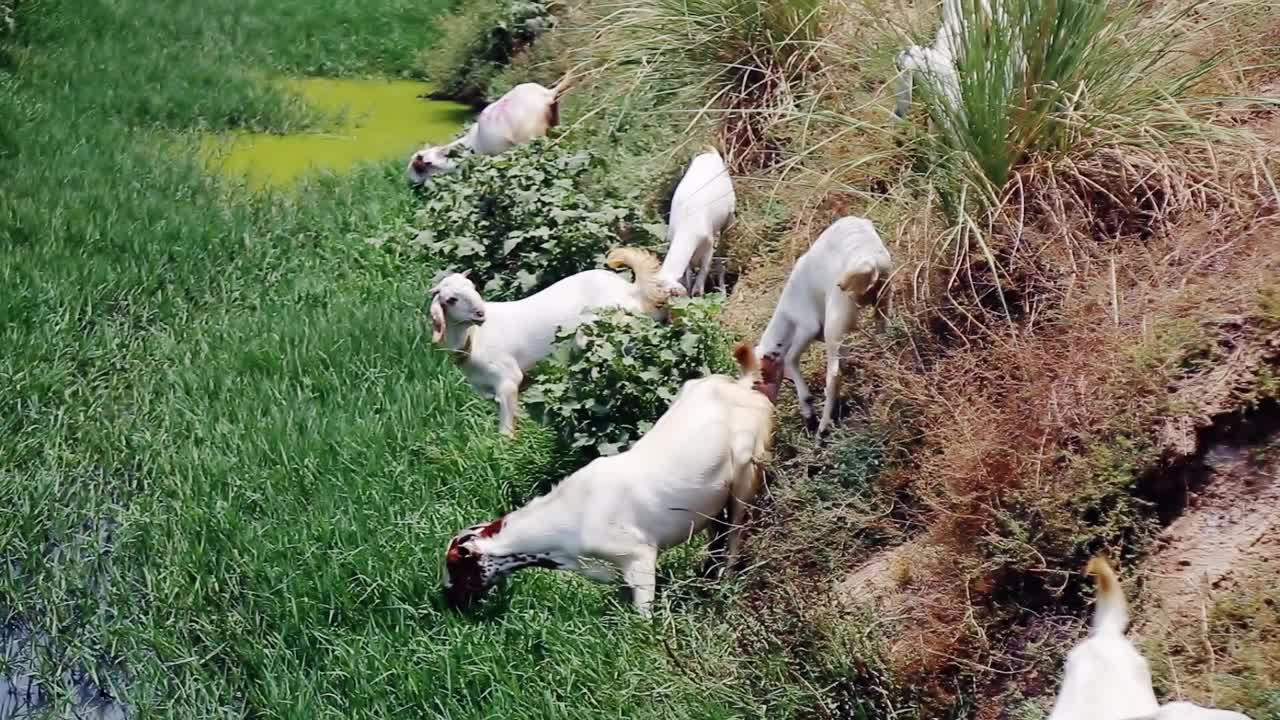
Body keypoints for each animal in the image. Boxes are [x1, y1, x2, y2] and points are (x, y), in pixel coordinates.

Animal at [432, 245, 670, 435]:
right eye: (451, 300)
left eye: (473, 288)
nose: (480, 313)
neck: (474, 339)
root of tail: (631, 290)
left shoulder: (508, 380)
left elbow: (506, 431)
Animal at [440, 338, 778, 614]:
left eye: (455, 566)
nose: (447, 601)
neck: (568, 519)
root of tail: (742, 386)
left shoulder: (640, 558)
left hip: (746, 476)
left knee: (734, 534)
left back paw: (723, 583)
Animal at [747, 213, 890, 430]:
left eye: (760, 376)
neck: (786, 317)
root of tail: (867, 262)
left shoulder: (808, 325)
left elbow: (790, 358)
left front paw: (808, 411)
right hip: (884, 294)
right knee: (882, 330)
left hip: (836, 316)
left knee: (833, 375)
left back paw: (823, 426)